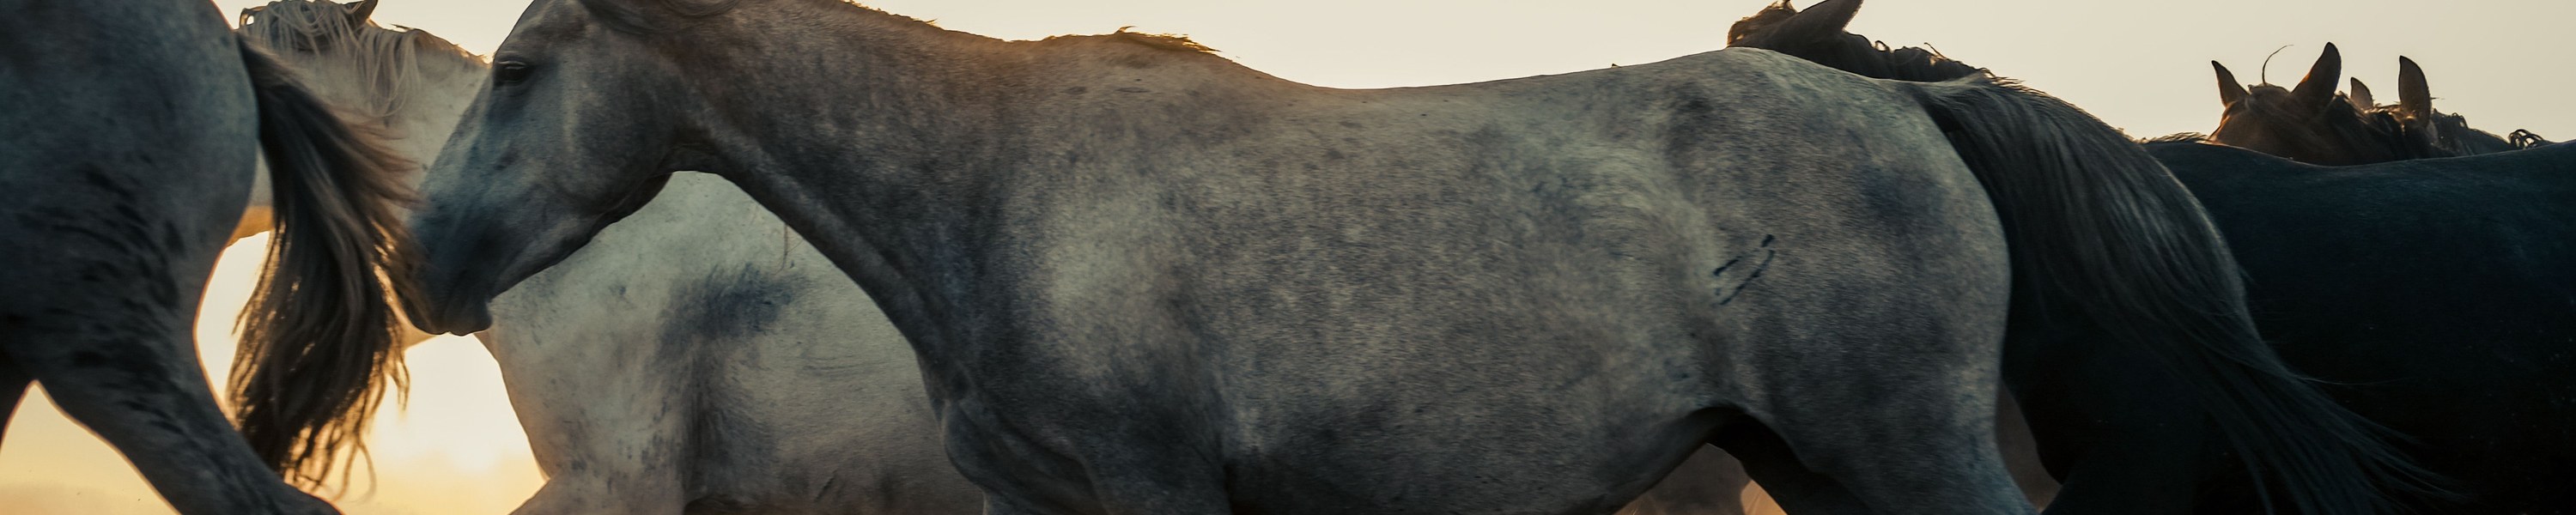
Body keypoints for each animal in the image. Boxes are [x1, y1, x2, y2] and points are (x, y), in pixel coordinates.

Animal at [383, 0, 2410, 512]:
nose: (421, 269)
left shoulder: (1157, 492)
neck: (1003, 195)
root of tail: (1920, 108)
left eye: (520, 65)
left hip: (1906, 455)